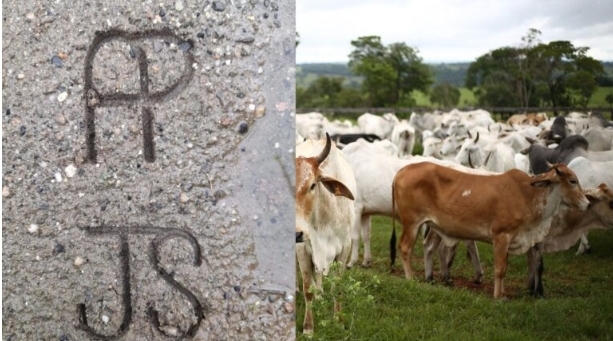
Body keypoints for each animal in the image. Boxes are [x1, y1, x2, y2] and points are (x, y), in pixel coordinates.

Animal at [296, 132, 356, 332]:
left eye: (313, 185)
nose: (296, 233)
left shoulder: (345, 246)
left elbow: (337, 285)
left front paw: (338, 320)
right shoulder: (302, 248)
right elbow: (308, 288)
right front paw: (308, 327)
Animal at [392, 161, 588, 296]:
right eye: (572, 181)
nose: (586, 203)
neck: (528, 196)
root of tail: (402, 171)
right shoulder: (501, 236)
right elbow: (500, 269)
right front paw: (498, 296)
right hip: (412, 223)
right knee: (405, 248)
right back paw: (410, 278)